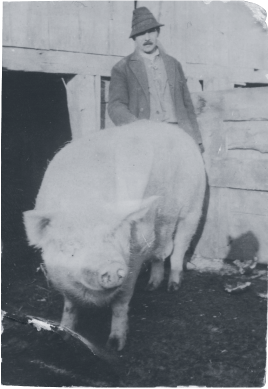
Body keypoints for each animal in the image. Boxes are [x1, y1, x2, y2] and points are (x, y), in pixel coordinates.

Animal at [24, 119, 206, 350]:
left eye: (114, 234)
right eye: (72, 244)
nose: (110, 265)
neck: (86, 199)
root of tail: (176, 130)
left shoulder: (134, 254)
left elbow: (121, 303)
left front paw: (114, 346)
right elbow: (70, 306)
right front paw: (60, 337)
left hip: (193, 208)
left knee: (178, 248)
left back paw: (172, 287)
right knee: (160, 253)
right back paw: (151, 287)